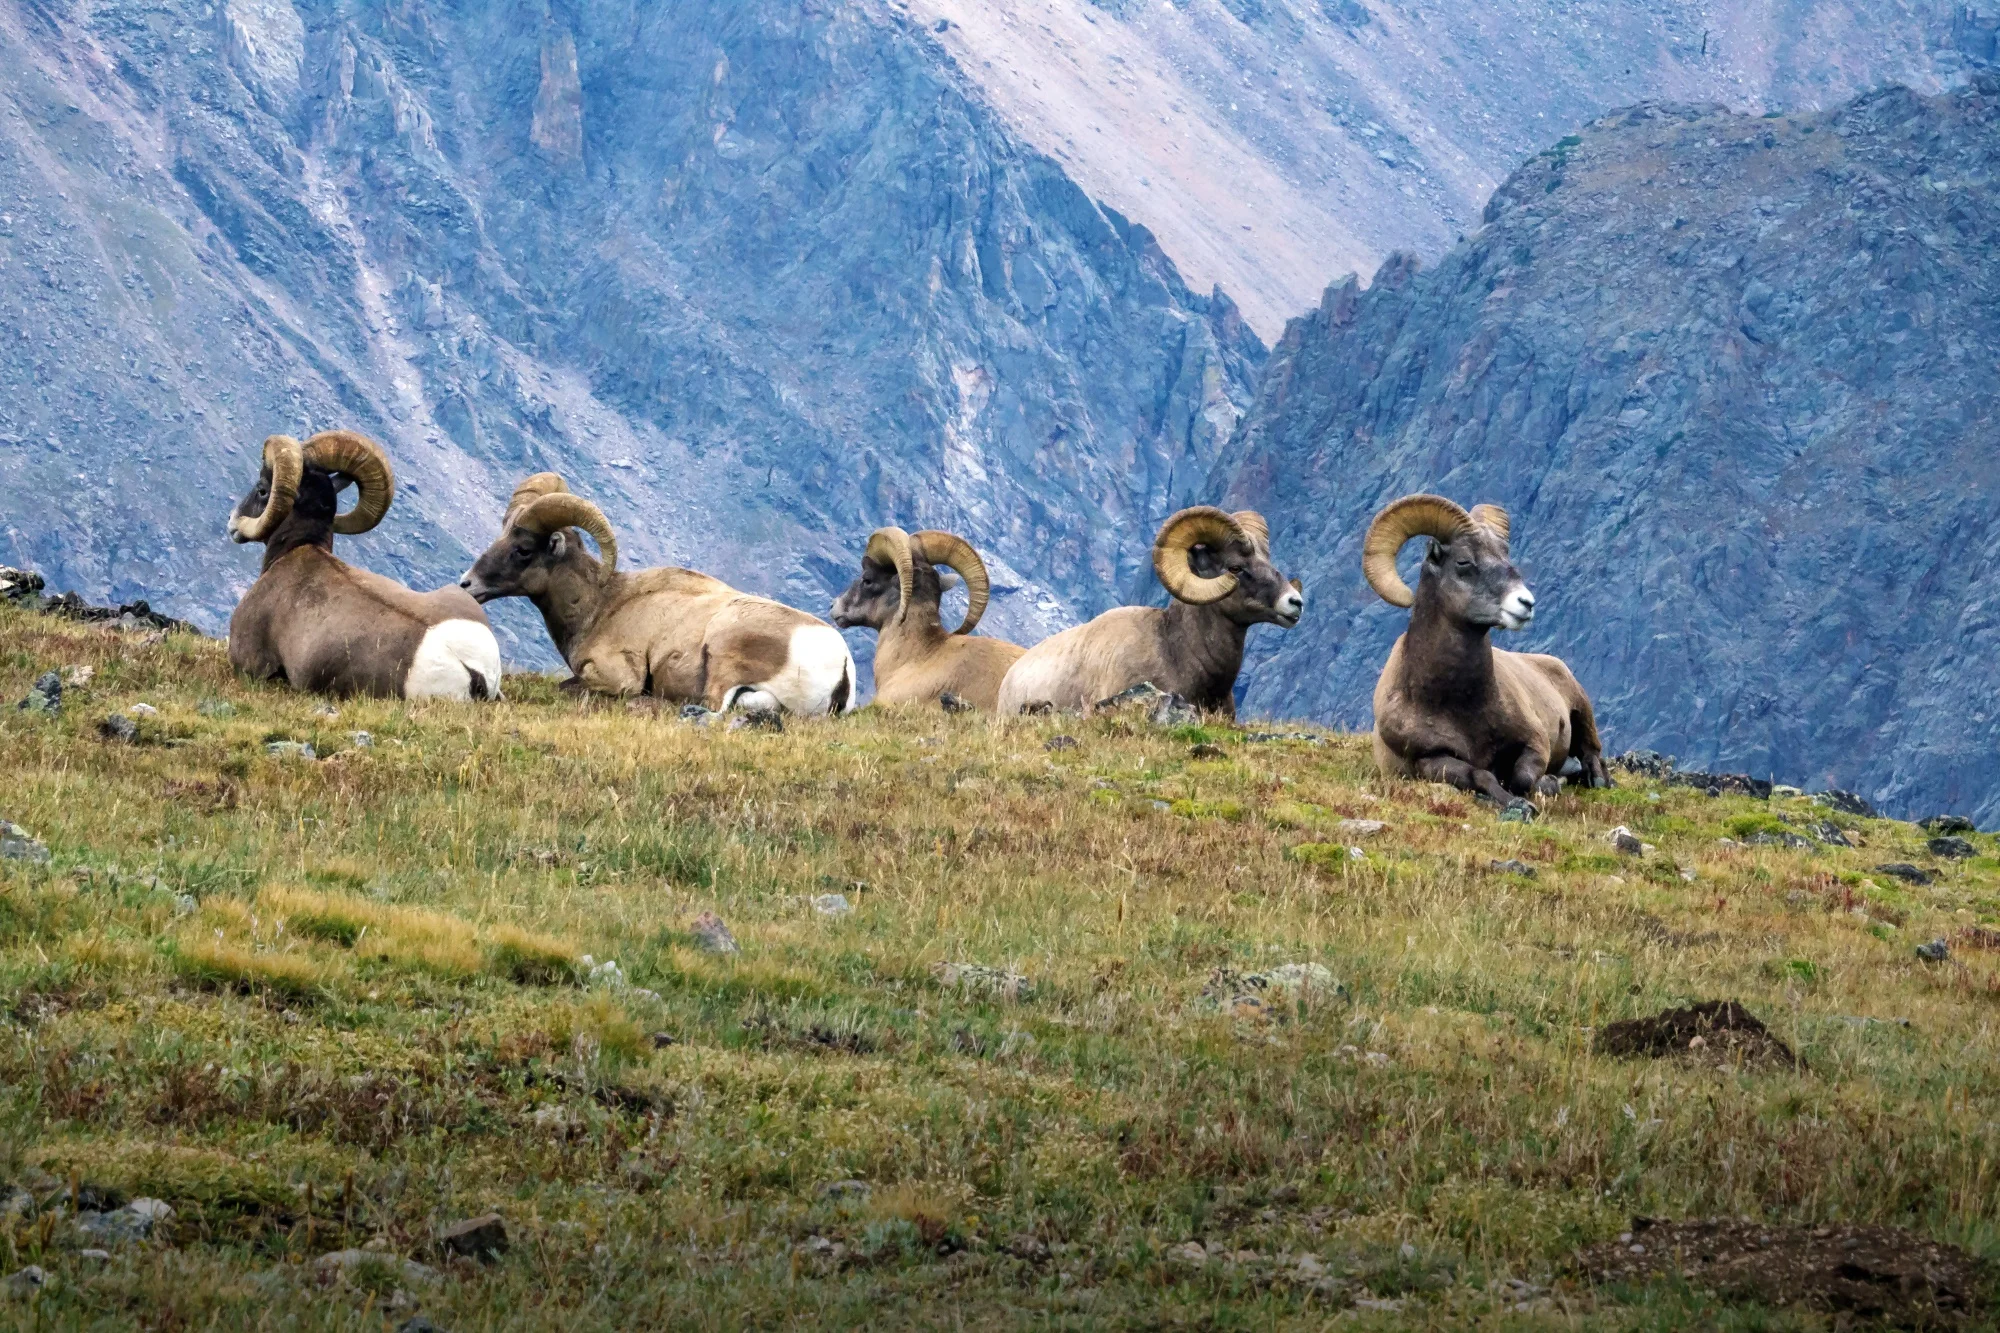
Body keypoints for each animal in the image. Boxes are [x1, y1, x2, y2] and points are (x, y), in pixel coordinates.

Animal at [458, 472, 856, 712]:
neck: (599, 607)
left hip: (724, 655)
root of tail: (840, 666)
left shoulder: (616, 676)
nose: (467, 585)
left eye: (523, 549)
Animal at [1360, 492, 1608, 804]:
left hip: (1582, 710)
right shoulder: (1431, 760)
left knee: (1592, 754)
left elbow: (1522, 777)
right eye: (1464, 561)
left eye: (1505, 557)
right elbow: (1481, 775)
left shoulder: (1535, 741)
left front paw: (1550, 783)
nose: (1526, 603)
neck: (1459, 706)